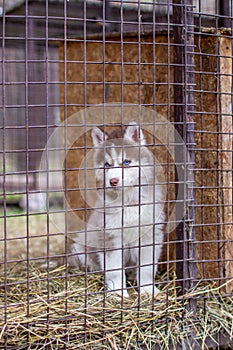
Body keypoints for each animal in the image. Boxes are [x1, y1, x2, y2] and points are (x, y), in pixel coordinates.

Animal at [71, 121, 164, 296]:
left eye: (126, 162)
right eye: (107, 165)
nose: (113, 181)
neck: (127, 201)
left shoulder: (149, 235)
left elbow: (147, 268)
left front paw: (148, 290)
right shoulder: (110, 236)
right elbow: (114, 269)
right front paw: (118, 293)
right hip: (79, 246)